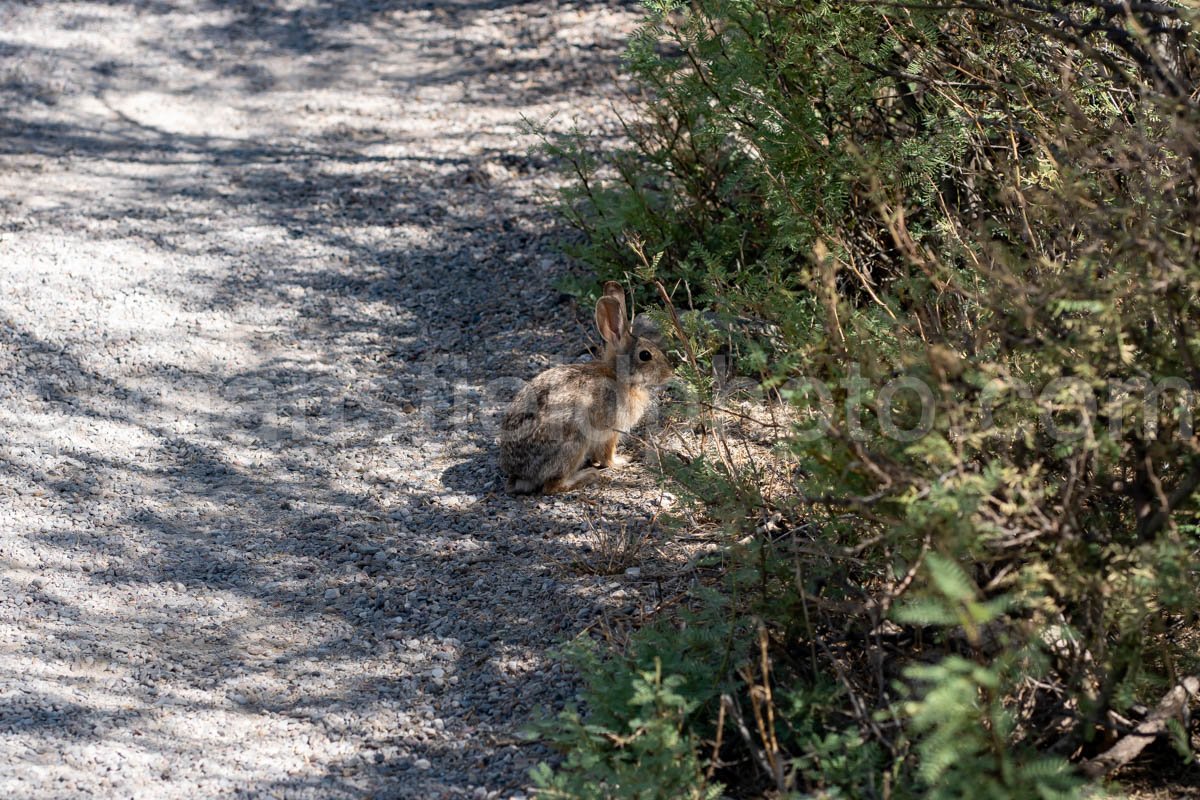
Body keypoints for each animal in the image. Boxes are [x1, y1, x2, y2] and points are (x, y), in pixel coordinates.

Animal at [499, 281, 676, 494]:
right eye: (645, 355)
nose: (671, 372)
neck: (619, 376)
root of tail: (519, 475)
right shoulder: (610, 431)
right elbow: (607, 455)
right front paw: (621, 462)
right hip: (574, 442)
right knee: (552, 486)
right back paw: (587, 476)